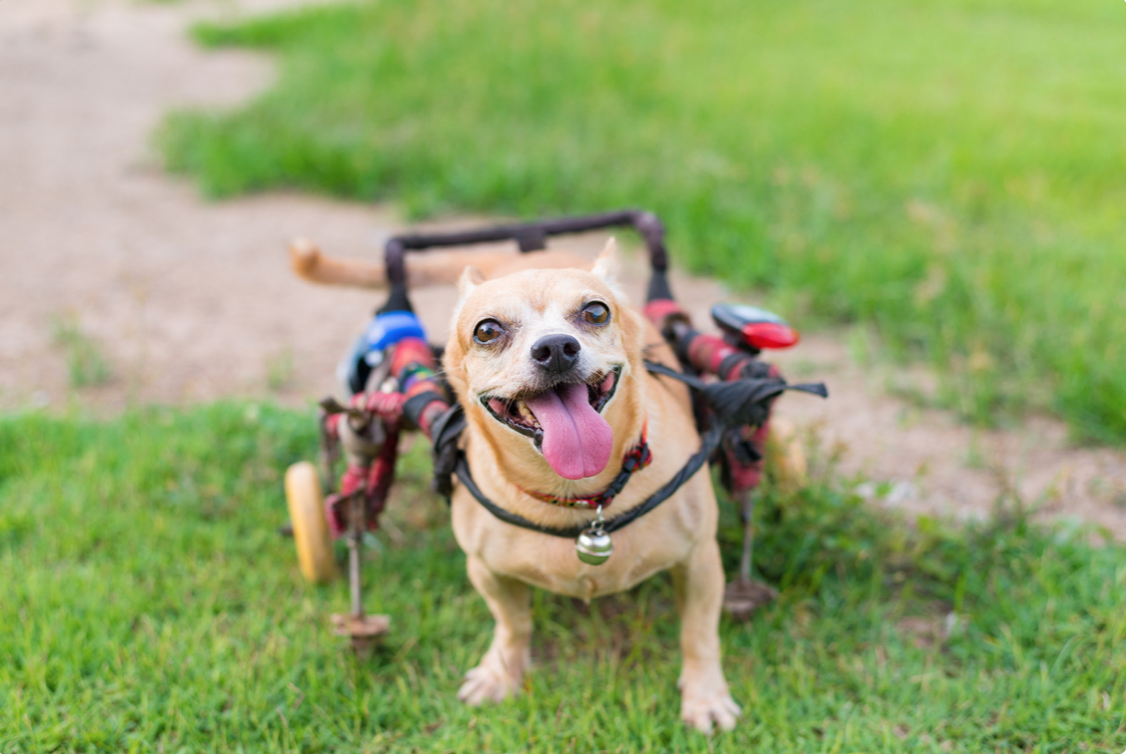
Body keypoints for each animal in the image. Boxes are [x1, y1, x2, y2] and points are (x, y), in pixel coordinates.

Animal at [295, 237, 743, 733]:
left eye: (596, 312)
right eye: (487, 331)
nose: (556, 347)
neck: (576, 495)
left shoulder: (700, 562)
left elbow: (698, 634)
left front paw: (706, 697)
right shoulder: (486, 570)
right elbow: (512, 624)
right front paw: (501, 675)